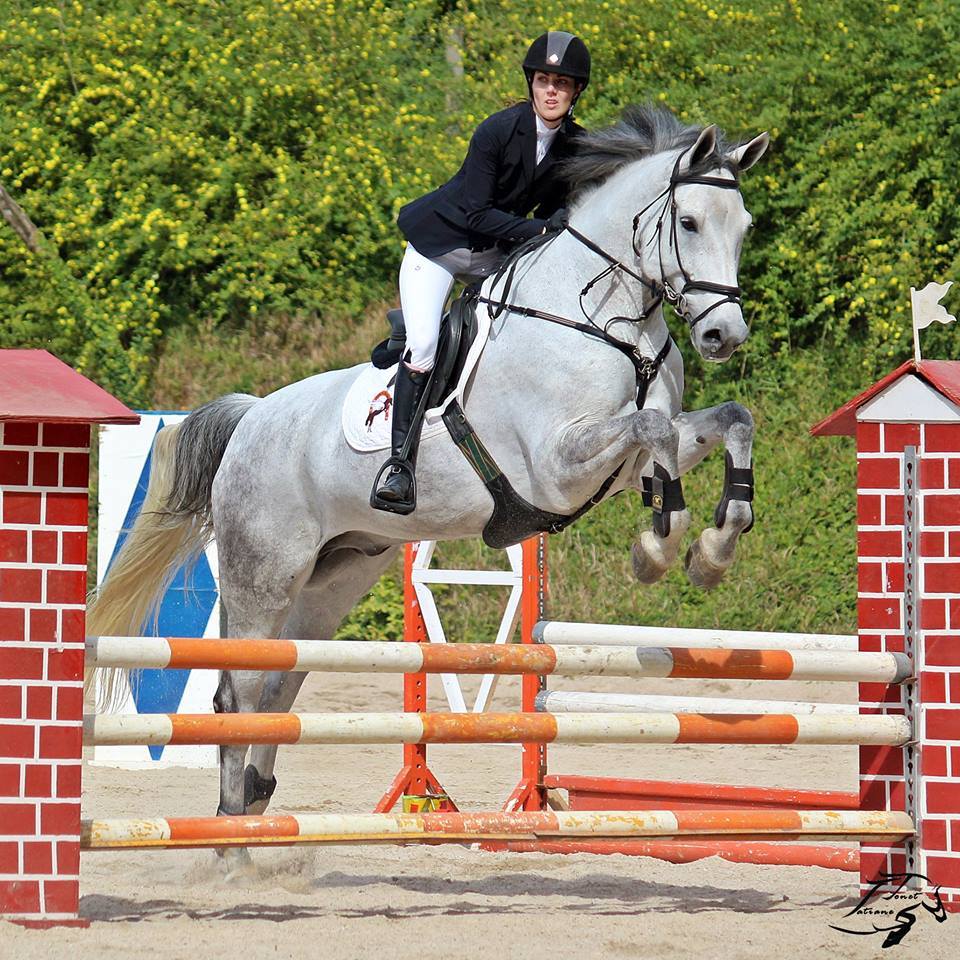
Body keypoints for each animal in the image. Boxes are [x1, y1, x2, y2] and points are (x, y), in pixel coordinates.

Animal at [88, 105, 764, 876]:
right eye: (689, 222)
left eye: (744, 227)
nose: (724, 335)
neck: (605, 318)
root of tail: (252, 417)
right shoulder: (557, 466)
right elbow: (652, 429)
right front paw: (660, 545)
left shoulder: (628, 451)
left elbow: (726, 422)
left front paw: (711, 548)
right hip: (263, 571)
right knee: (240, 690)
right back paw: (231, 849)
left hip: (334, 579)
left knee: (280, 685)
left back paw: (258, 831)